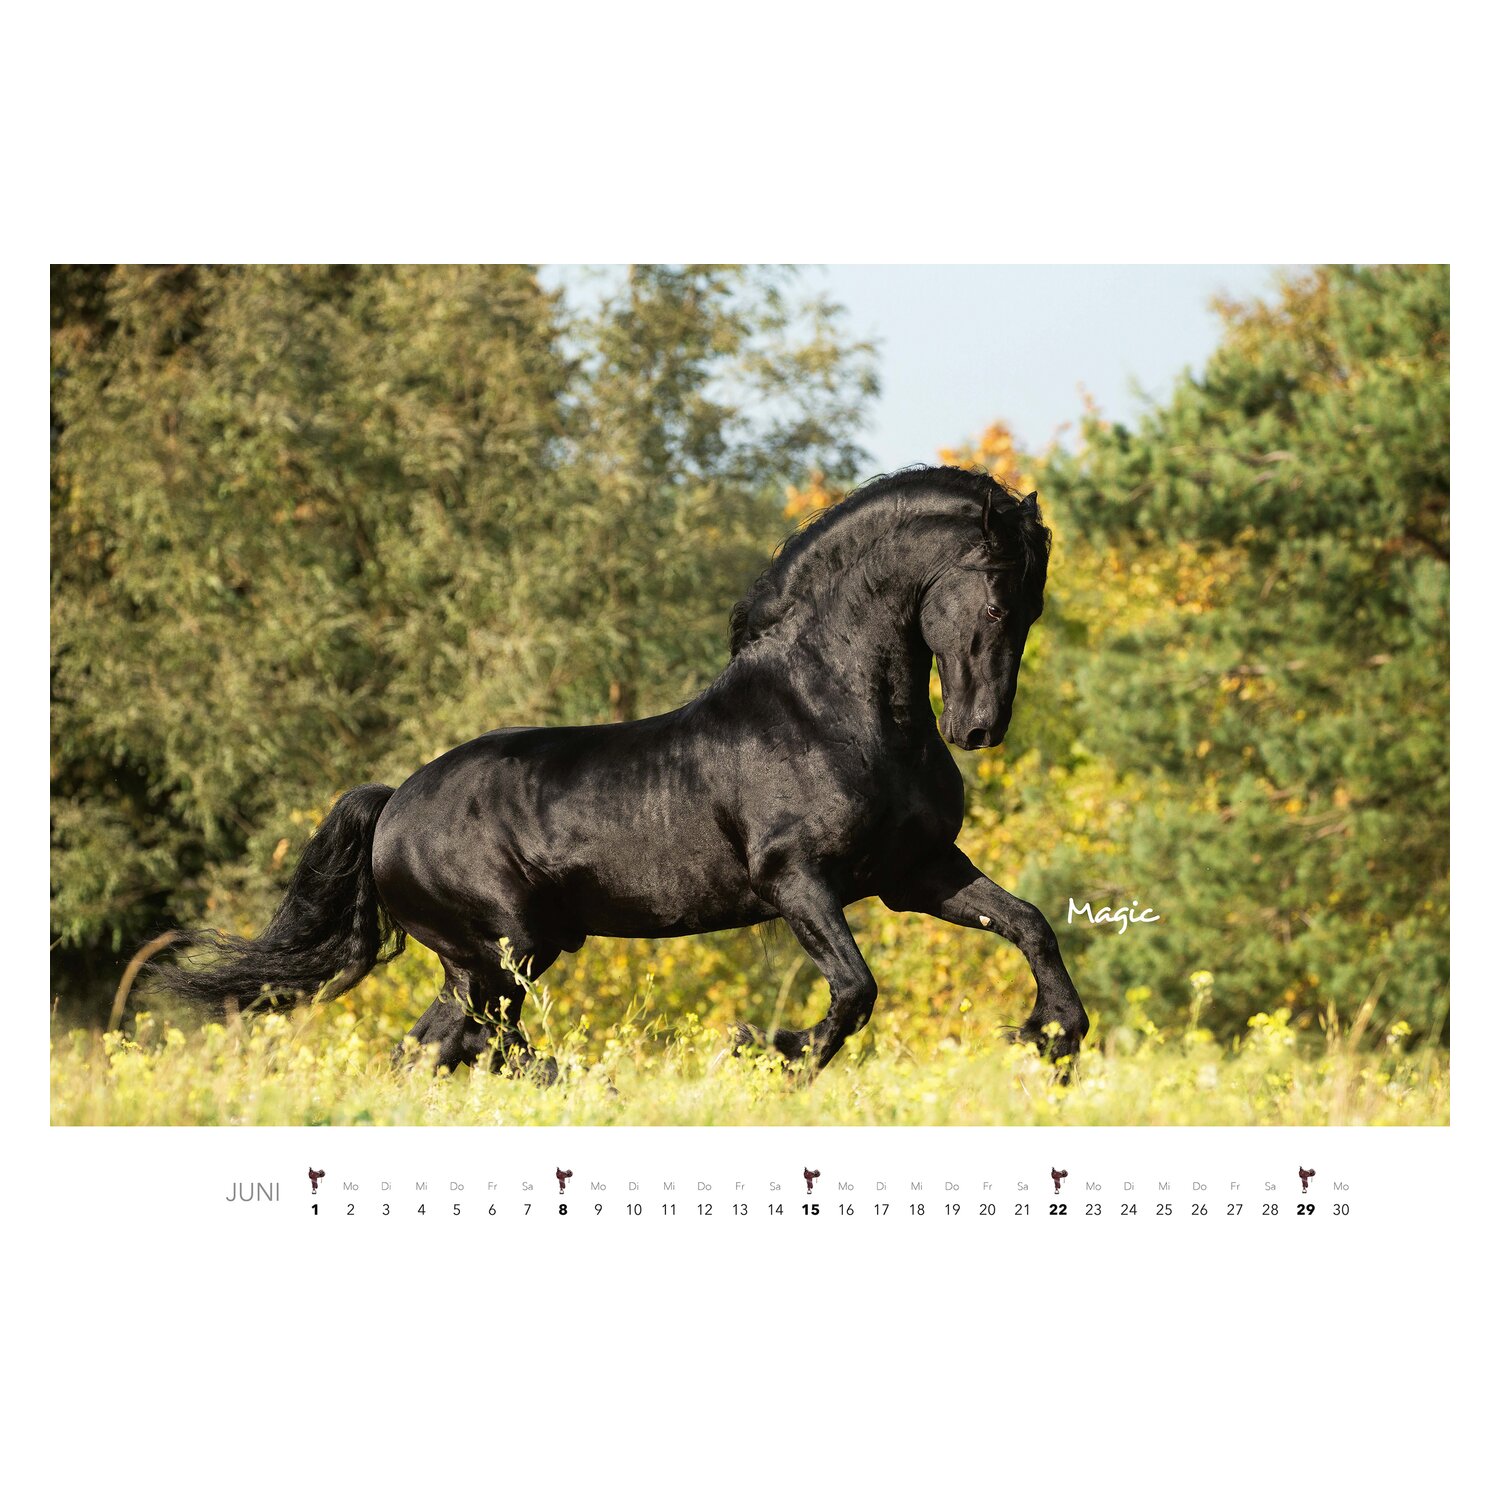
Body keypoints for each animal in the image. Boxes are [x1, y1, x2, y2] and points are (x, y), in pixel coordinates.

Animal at [156, 465, 1089, 1082]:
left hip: (493, 959)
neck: (833, 710)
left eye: (1034, 608)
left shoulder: (915, 872)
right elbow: (856, 989)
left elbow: (1030, 923)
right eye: (999, 601)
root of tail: (390, 806)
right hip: (506, 948)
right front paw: (772, 1048)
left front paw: (1052, 1034)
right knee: (488, 1046)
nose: (977, 729)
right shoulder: (797, 881)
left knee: (435, 1049)